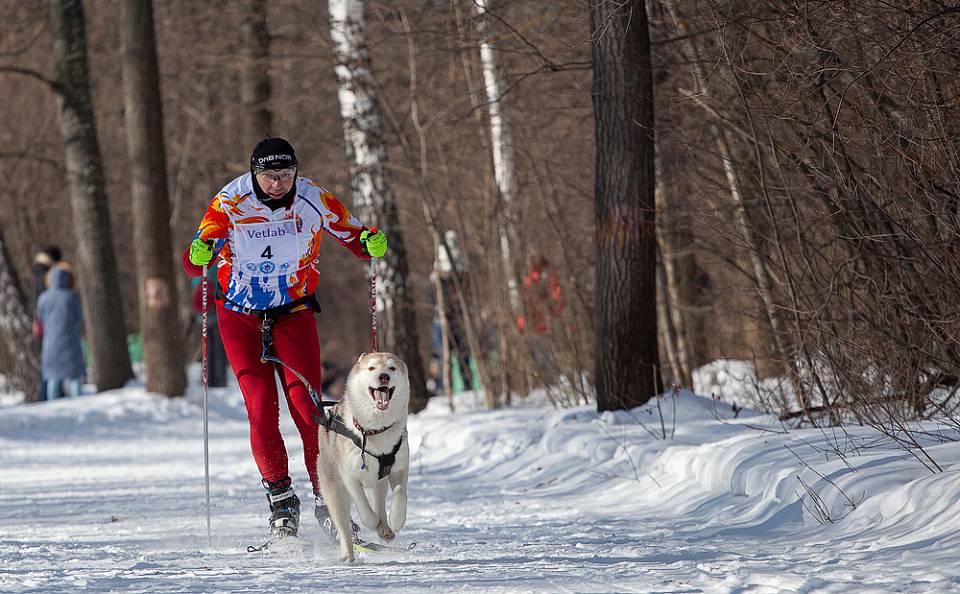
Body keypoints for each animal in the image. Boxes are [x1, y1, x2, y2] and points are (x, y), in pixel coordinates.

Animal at [316, 352, 410, 560]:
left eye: (391, 368)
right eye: (372, 368)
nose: (384, 377)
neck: (376, 430)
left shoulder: (399, 467)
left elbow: (400, 493)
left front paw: (396, 519)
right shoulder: (349, 476)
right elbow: (363, 506)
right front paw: (372, 521)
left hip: (378, 481)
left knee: (380, 502)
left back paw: (385, 529)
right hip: (336, 491)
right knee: (343, 526)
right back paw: (348, 555)